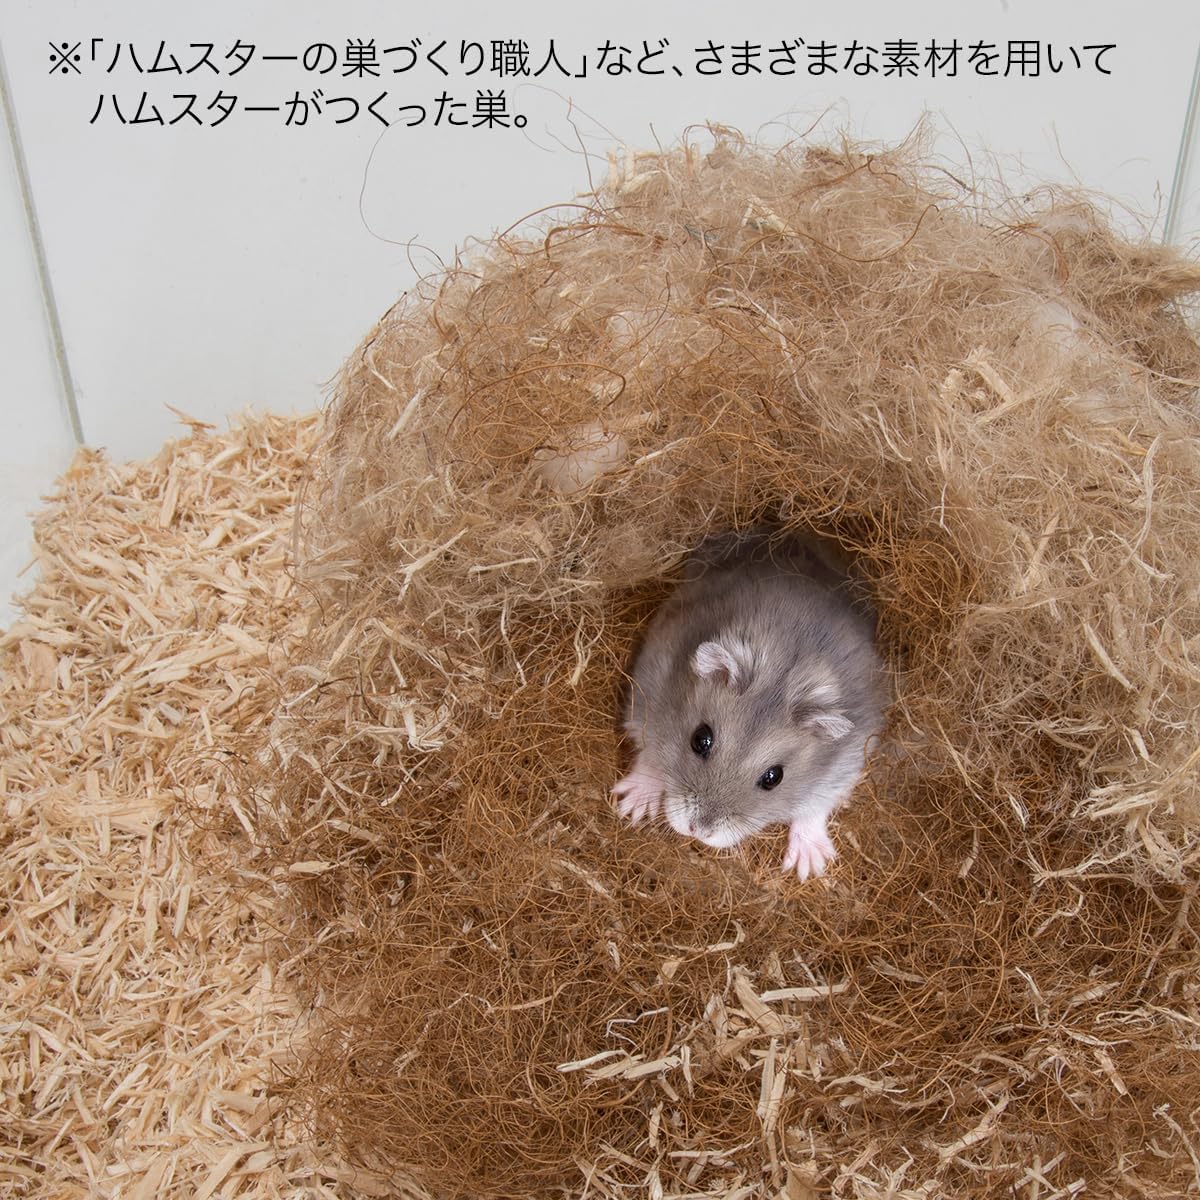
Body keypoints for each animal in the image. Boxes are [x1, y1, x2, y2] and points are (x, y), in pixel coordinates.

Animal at [612, 533, 886, 880]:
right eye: (700, 740)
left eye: (773, 778)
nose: (698, 831)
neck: (784, 676)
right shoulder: (648, 693)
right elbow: (650, 755)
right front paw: (632, 808)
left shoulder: (846, 762)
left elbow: (814, 808)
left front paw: (809, 868)